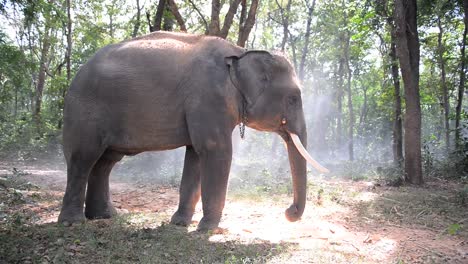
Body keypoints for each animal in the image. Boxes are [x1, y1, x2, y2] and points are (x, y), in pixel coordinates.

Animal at [57, 31, 330, 231]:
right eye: (293, 99)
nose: (288, 213)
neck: (241, 52)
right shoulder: (208, 97)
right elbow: (215, 151)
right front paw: (208, 229)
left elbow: (196, 155)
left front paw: (180, 224)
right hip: (84, 112)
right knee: (84, 158)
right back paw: (72, 223)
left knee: (105, 162)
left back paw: (104, 217)